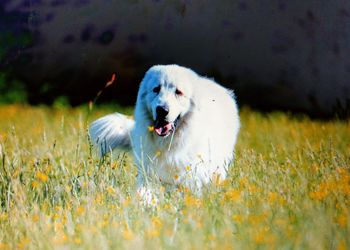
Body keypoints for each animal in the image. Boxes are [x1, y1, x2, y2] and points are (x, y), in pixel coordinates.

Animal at [89, 65, 239, 197]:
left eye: (178, 92)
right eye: (156, 89)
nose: (162, 110)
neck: (168, 142)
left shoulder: (191, 175)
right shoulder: (149, 171)